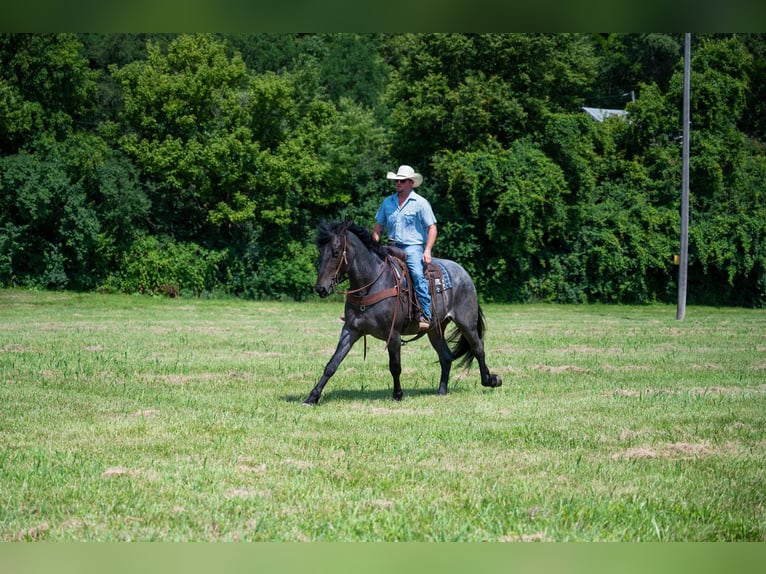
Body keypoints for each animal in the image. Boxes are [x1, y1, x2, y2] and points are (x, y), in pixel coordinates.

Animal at [304, 219, 508, 404]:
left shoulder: (393, 334)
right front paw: (312, 397)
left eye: (336, 252)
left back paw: (491, 380)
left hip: (466, 322)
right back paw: (442, 390)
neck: (372, 283)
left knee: (478, 347)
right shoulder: (351, 330)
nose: (321, 288)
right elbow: (332, 364)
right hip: (435, 330)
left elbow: (395, 366)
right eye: (321, 252)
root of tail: (464, 274)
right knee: (446, 356)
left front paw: (398, 394)